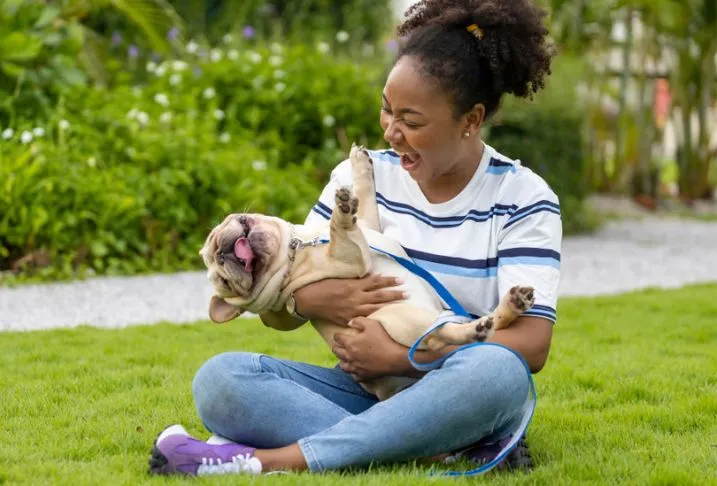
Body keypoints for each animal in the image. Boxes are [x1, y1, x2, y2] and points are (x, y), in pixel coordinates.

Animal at [199, 143, 536, 398]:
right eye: (225, 282)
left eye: (217, 234)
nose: (222, 253)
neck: (295, 251)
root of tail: (390, 391)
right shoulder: (349, 257)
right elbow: (341, 231)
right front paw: (341, 212)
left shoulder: (369, 224)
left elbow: (365, 195)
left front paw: (360, 164)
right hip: (406, 319)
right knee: (440, 338)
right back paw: (480, 325)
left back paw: (512, 304)